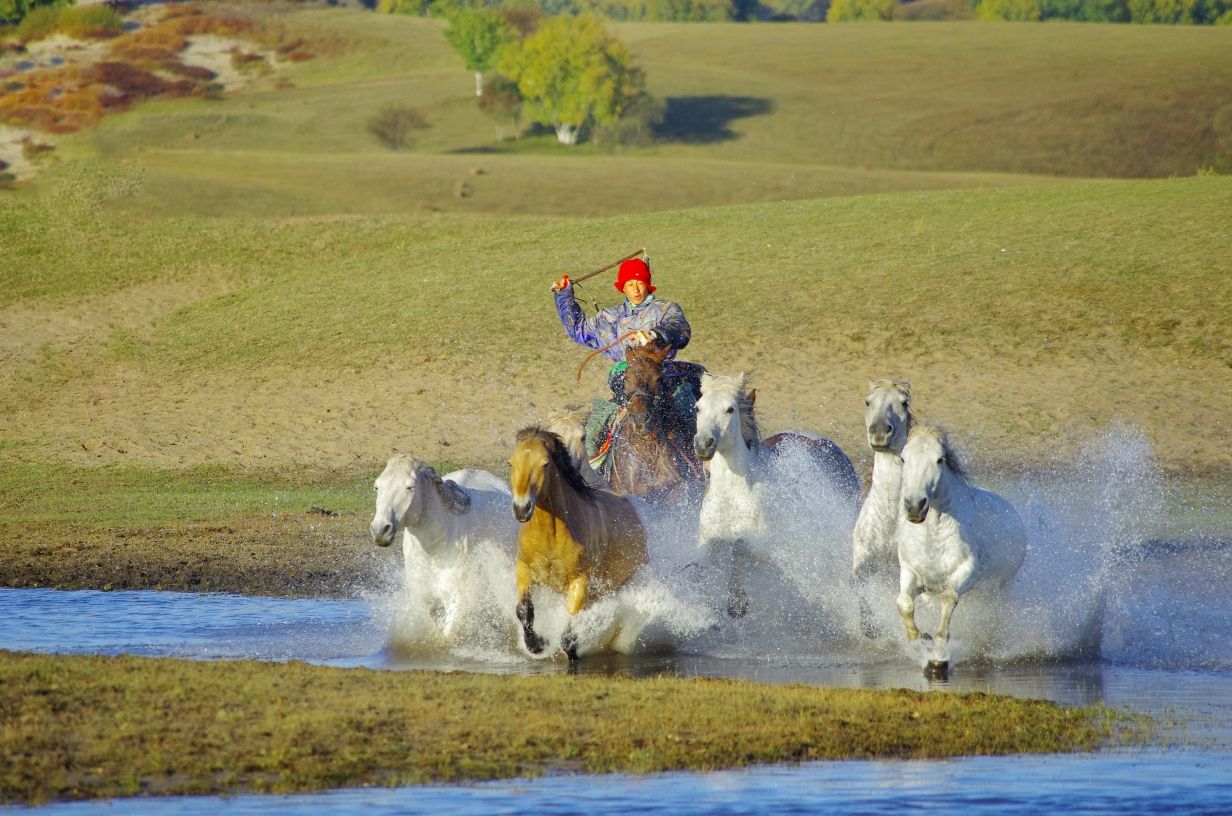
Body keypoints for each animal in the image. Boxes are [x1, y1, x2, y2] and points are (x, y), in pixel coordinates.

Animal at [367, 453, 517, 640]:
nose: (380, 530)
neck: (435, 550)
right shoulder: (423, 601)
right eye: (377, 486)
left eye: (410, 487)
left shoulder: (456, 601)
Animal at [505, 428, 650, 660]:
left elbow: (570, 628)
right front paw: (537, 644)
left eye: (545, 464)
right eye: (511, 462)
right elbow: (524, 610)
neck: (552, 536)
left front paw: (566, 649)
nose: (521, 508)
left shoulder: (579, 579)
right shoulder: (524, 569)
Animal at [896, 428, 1029, 675]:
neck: (932, 540)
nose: (915, 506)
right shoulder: (911, 573)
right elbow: (904, 603)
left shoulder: (966, 572)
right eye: (903, 458)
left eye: (939, 460)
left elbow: (948, 600)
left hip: (992, 592)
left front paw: (937, 659)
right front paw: (921, 641)